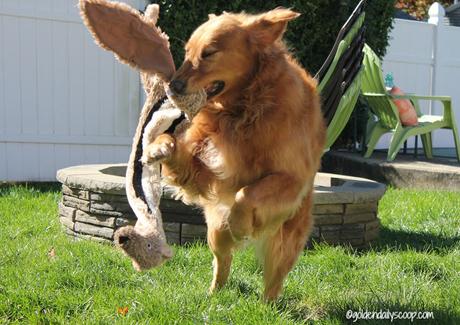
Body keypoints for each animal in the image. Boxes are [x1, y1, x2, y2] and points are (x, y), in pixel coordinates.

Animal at [149, 7, 326, 300]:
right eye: (187, 52)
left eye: (209, 53)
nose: (171, 85)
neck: (243, 108)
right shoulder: (200, 169)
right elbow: (173, 143)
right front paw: (159, 146)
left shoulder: (292, 179)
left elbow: (247, 193)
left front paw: (242, 224)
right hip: (215, 232)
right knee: (223, 260)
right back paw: (214, 294)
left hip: (284, 242)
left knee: (273, 282)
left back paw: (266, 304)